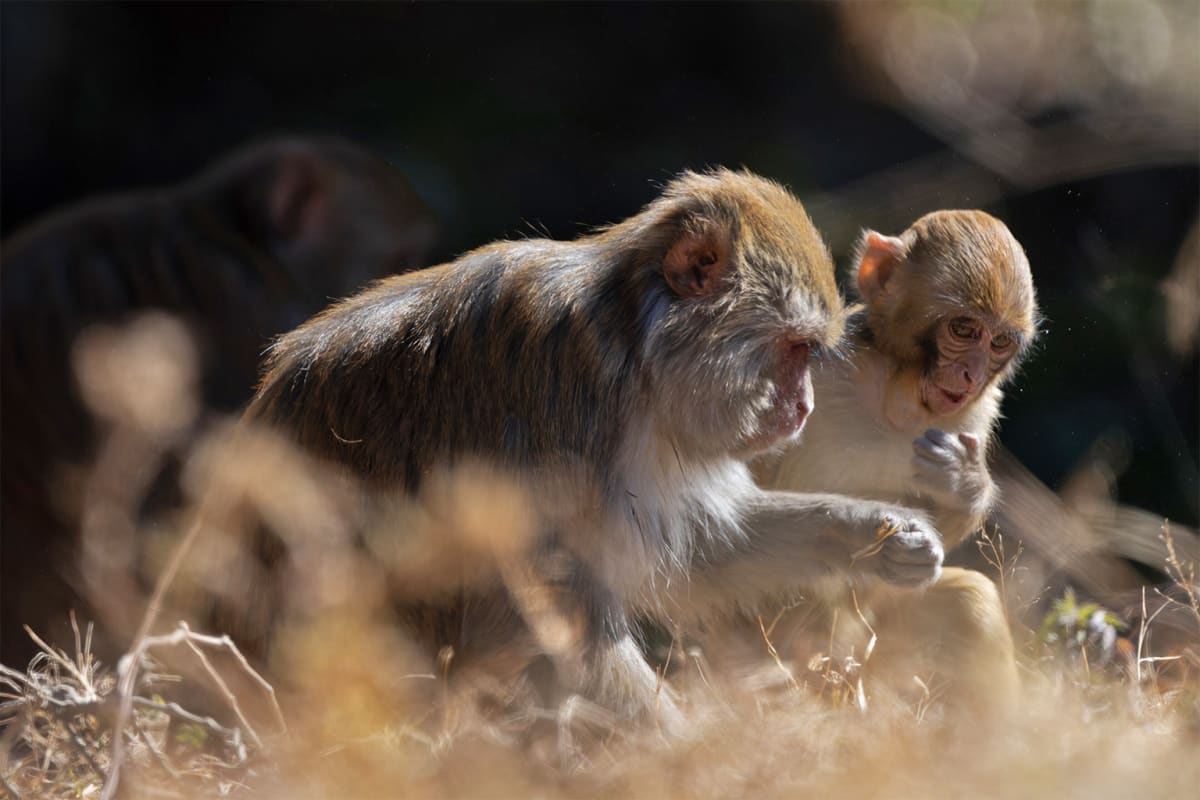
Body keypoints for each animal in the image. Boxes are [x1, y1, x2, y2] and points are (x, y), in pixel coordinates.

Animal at [239, 169, 946, 726]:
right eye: (795, 349)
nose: (803, 409)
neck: (637, 350)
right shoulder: (562, 398)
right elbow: (554, 608)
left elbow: (707, 547)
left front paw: (877, 531)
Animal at [753, 209, 1038, 714]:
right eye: (964, 330)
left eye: (1000, 341)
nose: (971, 374)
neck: (897, 395)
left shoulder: (977, 411)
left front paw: (963, 484)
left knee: (971, 601)